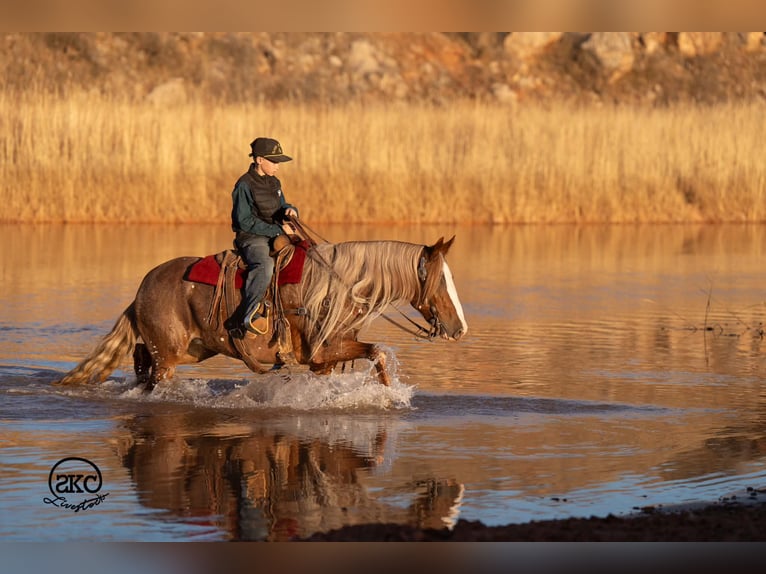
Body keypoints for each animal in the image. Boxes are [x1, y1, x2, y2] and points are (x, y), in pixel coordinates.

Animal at [54, 236, 467, 390]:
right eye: (440, 280)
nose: (460, 327)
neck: (336, 286)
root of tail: (142, 289)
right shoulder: (324, 349)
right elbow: (379, 352)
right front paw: (387, 392)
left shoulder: (325, 358)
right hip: (169, 355)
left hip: (194, 348)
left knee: (140, 354)